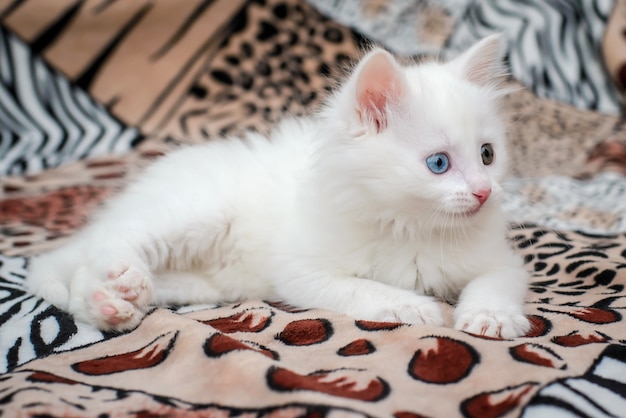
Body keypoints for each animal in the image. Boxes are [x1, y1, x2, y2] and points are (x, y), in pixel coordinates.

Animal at [26, 34, 528, 338]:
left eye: (488, 155)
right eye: (438, 164)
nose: (484, 192)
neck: (412, 224)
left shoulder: (501, 260)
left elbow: (495, 282)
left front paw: (490, 316)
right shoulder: (304, 272)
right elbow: (366, 290)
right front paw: (416, 307)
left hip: (204, 283)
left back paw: (114, 305)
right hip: (191, 214)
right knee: (109, 244)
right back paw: (121, 284)